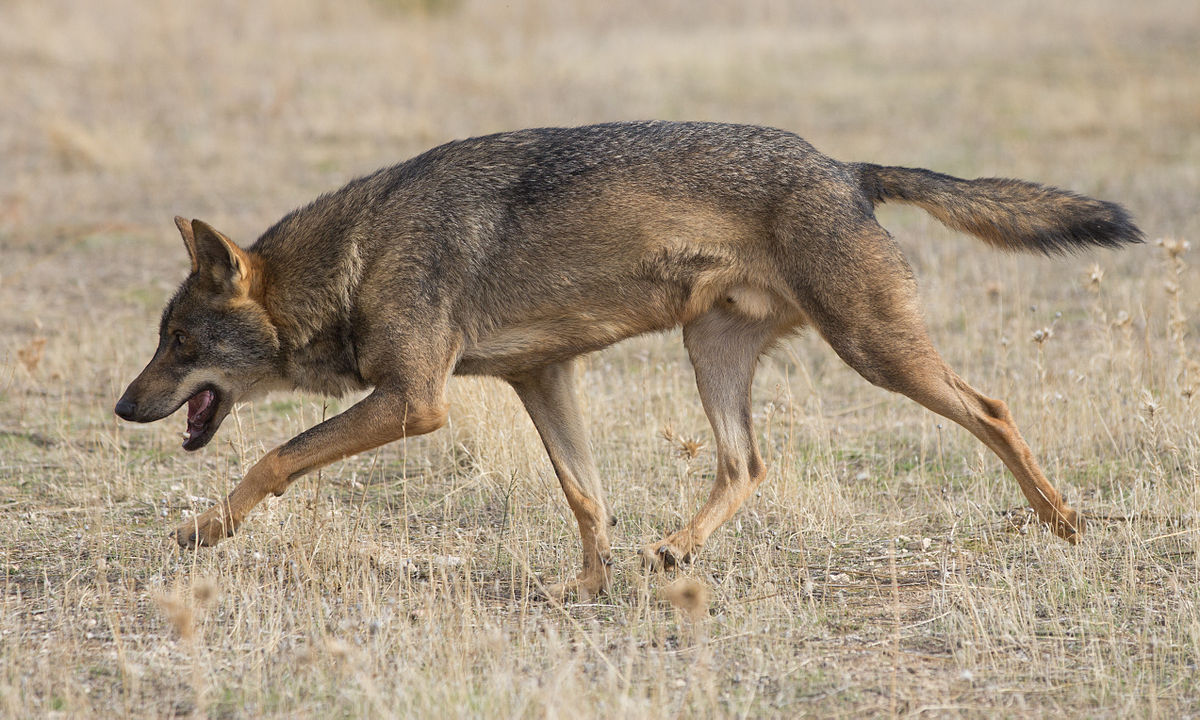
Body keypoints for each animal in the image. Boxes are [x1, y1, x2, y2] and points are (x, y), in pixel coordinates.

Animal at [114, 122, 1142, 595]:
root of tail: (849, 169)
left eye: (179, 344)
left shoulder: (414, 402)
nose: (121, 408)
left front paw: (203, 531)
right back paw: (678, 548)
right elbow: (586, 496)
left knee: (994, 410)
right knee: (747, 462)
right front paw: (588, 586)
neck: (357, 258)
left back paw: (1064, 522)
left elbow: (273, 457)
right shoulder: (541, 375)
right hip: (713, 352)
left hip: (877, 352)